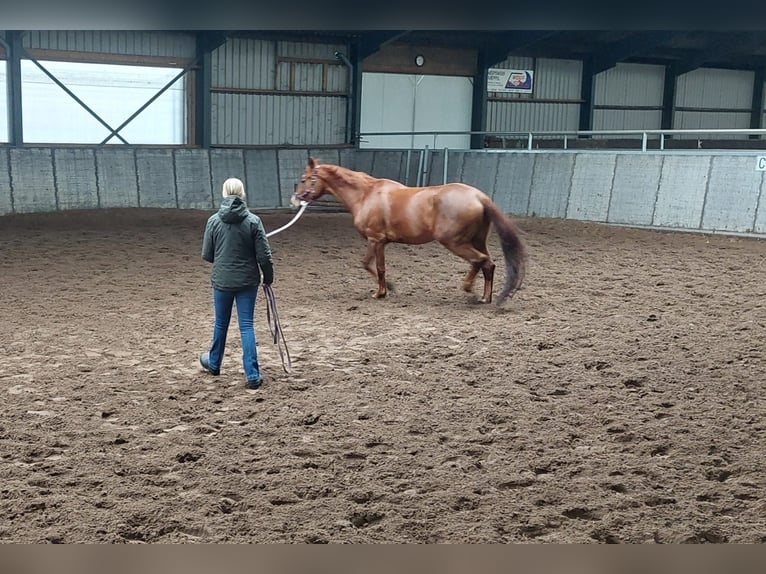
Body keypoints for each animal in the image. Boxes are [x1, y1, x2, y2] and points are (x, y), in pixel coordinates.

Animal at [291, 157, 527, 305]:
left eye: (303, 179)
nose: (294, 200)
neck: (366, 195)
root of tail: (479, 196)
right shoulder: (379, 242)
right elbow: (370, 265)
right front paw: (388, 289)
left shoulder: (375, 240)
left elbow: (375, 266)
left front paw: (381, 292)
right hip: (477, 240)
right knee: (489, 264)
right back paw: (486, 298)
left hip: (454, 242)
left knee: (480, 261)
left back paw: (469, 290)